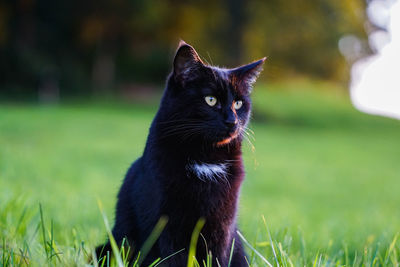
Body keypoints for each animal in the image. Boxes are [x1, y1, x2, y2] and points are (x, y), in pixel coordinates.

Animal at [95, 40, 266, 266]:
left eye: (238, 103)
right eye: (210, 100)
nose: (232, 121)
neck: (205, 157)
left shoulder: (223, 224)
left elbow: (217, 256)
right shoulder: (166, 223)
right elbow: (173, 258)